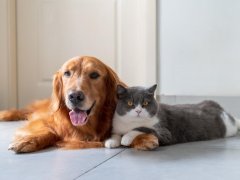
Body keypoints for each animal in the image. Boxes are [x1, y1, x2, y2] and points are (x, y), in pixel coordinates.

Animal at [105, 85, 240, 148]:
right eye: (129, 103)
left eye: (145, 103)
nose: (138, 110)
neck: (131, 122)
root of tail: (217, 106)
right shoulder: (117, 126)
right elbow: (115, 134)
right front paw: (111, 142)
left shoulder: (164, 131)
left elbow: (143, 128)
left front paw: (126, 138)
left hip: (228, 125)